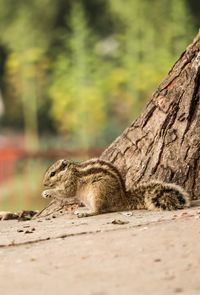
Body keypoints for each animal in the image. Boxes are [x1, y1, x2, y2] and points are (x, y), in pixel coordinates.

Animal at [41, 158, 191, 219]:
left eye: (52, 173)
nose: (43, 183)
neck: (71, 171)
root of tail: (122, 199)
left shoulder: (71, 182)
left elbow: (67, 193)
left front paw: (47, 192)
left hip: (98, 192)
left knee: (99, 210)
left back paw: (87, 213)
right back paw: (83, 209)